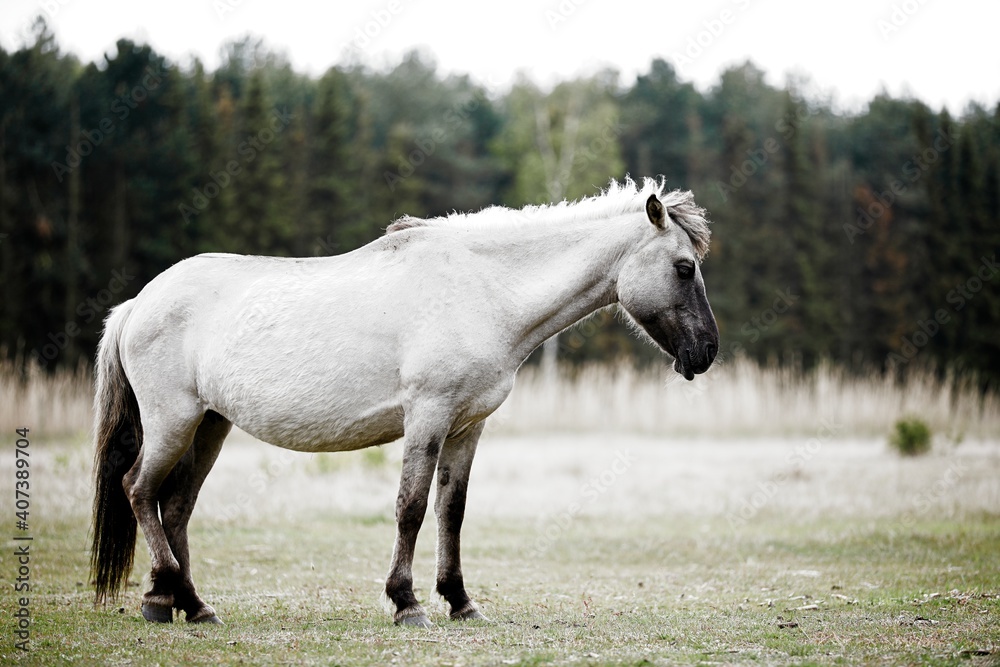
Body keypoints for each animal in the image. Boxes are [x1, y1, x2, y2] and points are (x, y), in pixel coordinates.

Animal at [92, 176, 720, 628]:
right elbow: (411, 507)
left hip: (210, 426)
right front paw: (407, 603)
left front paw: (460, 601)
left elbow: (451, 510)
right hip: (174, 422)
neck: (482, 289)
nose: (707, 351)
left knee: (175, 506)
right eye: (683, 267)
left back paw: (188, 605)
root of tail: (139, 302)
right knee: (138, 490)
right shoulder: (428, 417)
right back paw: (166, 597)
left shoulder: (467, 427)